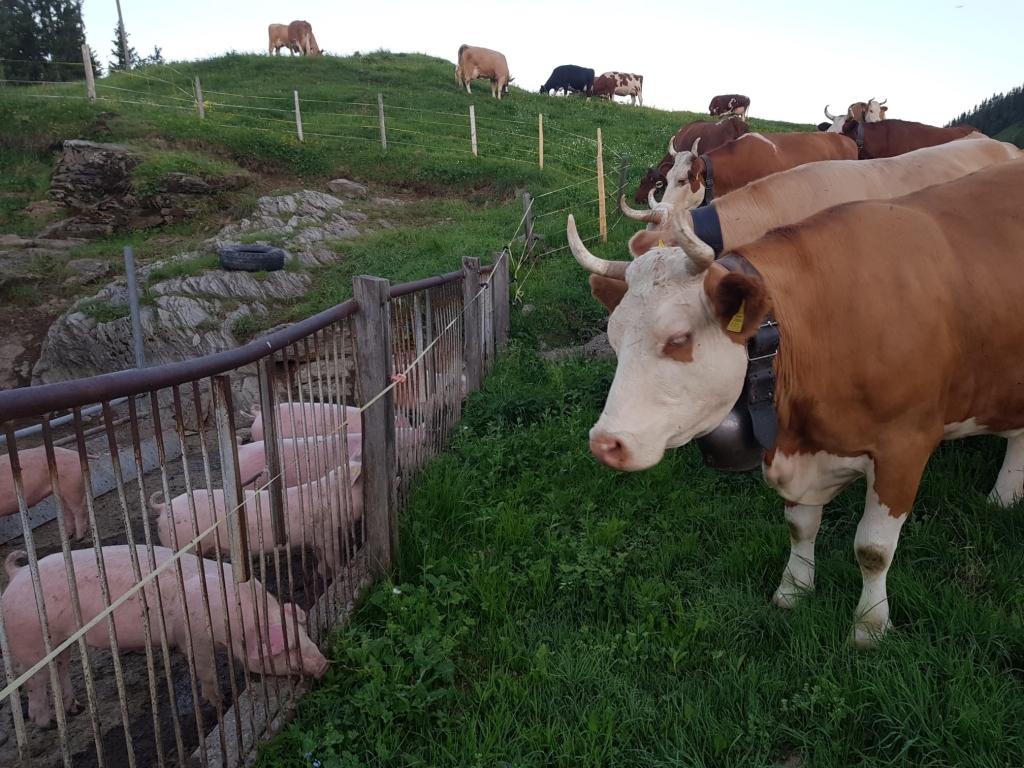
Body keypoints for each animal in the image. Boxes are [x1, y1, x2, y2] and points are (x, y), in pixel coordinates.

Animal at [0, 548, 327, 729]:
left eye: (303, 634)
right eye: (288, 647)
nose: (324, 664)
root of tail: (16, 576)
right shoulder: (193, 637)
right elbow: (206, 671)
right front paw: (221, 702)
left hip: (59, 642)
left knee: (61, 669)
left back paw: (75, 709)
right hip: (30, 642)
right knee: (35, 682)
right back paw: (47, 723)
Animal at [149, 462, 362, 577]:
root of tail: (163, 507)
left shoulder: (314, 536)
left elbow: (319, 556)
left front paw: (322, 574)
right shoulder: (327, 532)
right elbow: (332, 557)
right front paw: (340, 572)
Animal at [569, 157, 1024, 651]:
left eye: (679, 338)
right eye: (613, 337)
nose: (605, 443)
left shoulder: (906, 445)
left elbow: (873, 549)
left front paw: (869, 627)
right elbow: (800, 526)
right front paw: (793, 590)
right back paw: (1004, 496)